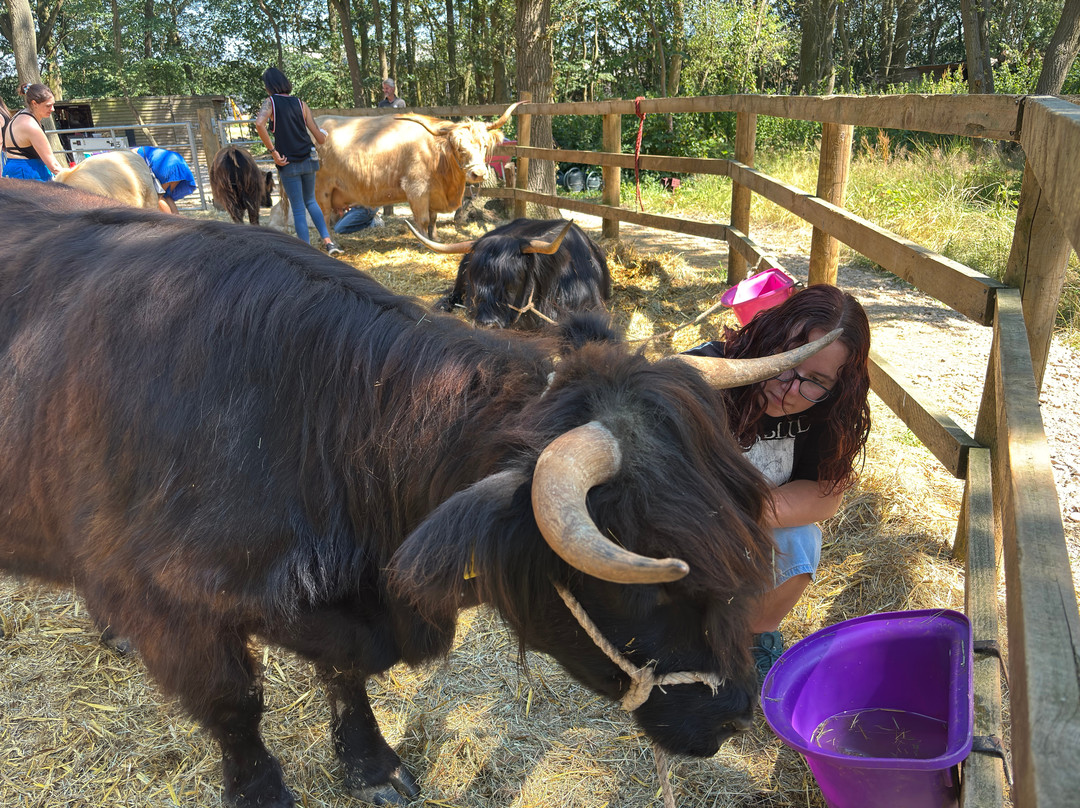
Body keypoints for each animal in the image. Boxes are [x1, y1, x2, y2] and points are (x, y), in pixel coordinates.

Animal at [290, 102, 519, 238]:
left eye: (484, 145)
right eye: (459, 148)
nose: (478, 174)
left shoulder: (433, 193)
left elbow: (433, 219)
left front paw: (435, 239)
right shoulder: (416, 189)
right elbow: (423, 219)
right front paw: (425, 243)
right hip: (320, 188)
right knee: (323, 215)